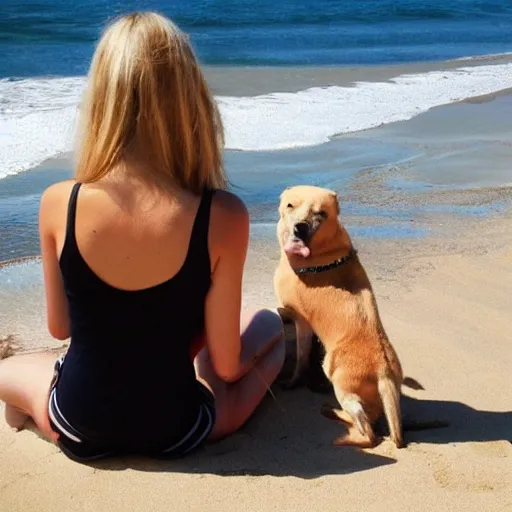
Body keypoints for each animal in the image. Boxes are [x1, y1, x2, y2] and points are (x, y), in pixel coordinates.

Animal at [274, 185, 402, 448]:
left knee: (370, 435)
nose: (300, 227)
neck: (324, 250)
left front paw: (293, 382)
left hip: (344, 388)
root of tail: (384, 372)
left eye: (321, 213)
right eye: (290, 205)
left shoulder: (301, 322)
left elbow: (301, 359)